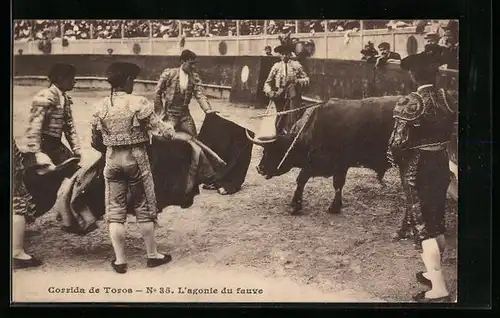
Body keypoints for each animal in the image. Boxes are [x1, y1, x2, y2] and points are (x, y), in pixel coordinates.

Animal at [246, 95, 402, 215]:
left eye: (274, 150)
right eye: (264, 151)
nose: (259, 168)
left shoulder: (336, 164)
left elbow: (331, 183)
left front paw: (331, 207)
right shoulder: (321, 164)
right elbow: (305, 180)